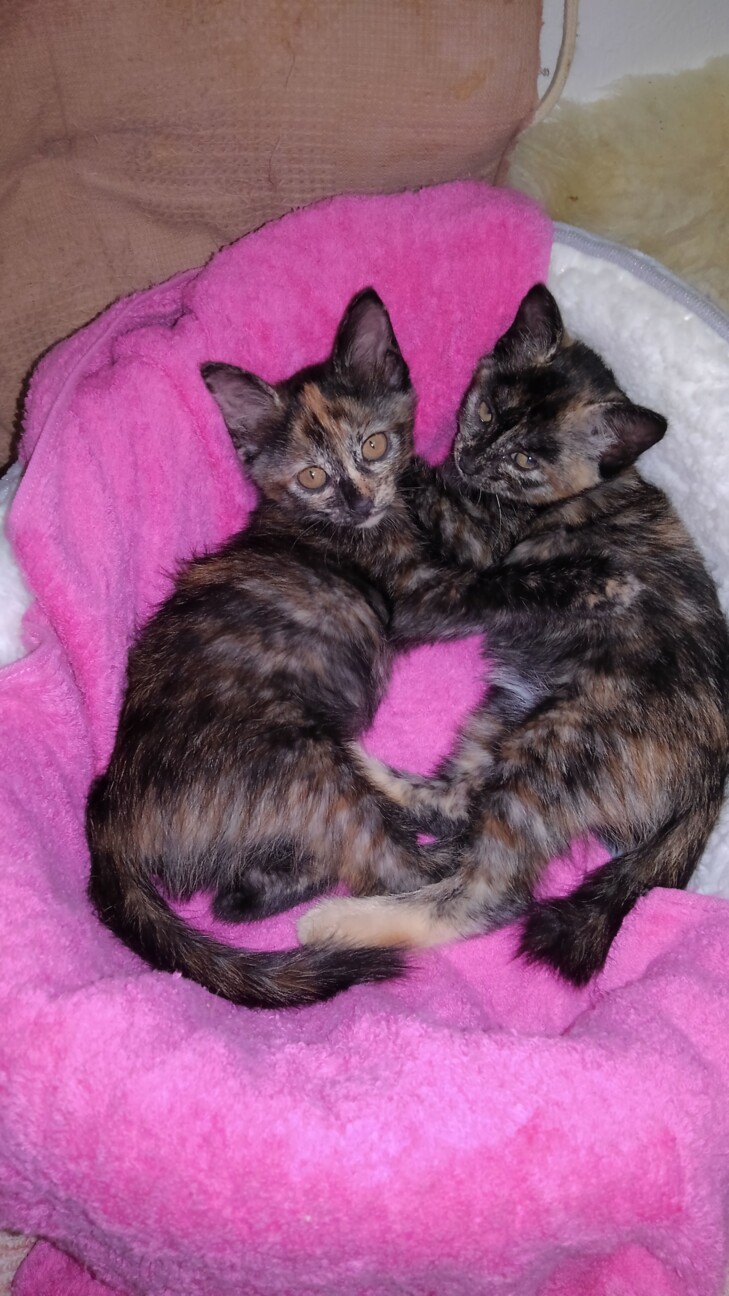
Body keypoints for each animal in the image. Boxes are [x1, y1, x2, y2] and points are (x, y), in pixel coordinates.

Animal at [86, 287, 505, 1009]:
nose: (357, 499)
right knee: (408, 872)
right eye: (312, 476)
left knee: (233, 900)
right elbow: (507, 580)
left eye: (373, 444)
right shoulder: (417, 597)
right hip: (307, 765)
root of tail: (111, 820)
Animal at [298, 283, 729, 985]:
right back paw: (357, 761)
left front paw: (396, 468)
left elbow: (432, 496)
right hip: (505, 712)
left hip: (559, 744)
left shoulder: (484, 544)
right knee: (454, 804)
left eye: (526, 458)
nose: (472, 456)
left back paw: (335, 922)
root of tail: (710, 782)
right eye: (485, 410)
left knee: (490, 892)